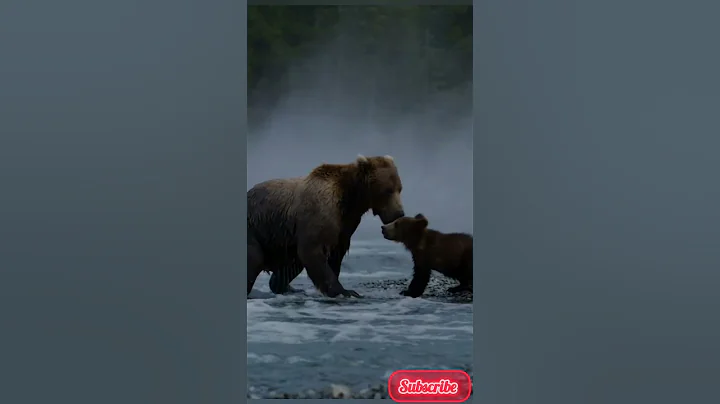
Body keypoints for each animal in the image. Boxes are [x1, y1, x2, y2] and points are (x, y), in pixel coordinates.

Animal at [247, 155, 406, 298]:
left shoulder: (346, 223)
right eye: (388, 190)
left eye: (400, 188)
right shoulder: (320, 211)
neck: (351, 198)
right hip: (256, 228)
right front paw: (346, 291)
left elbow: (335, 254)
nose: (399, 213)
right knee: (255, 258)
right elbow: (312, 250)